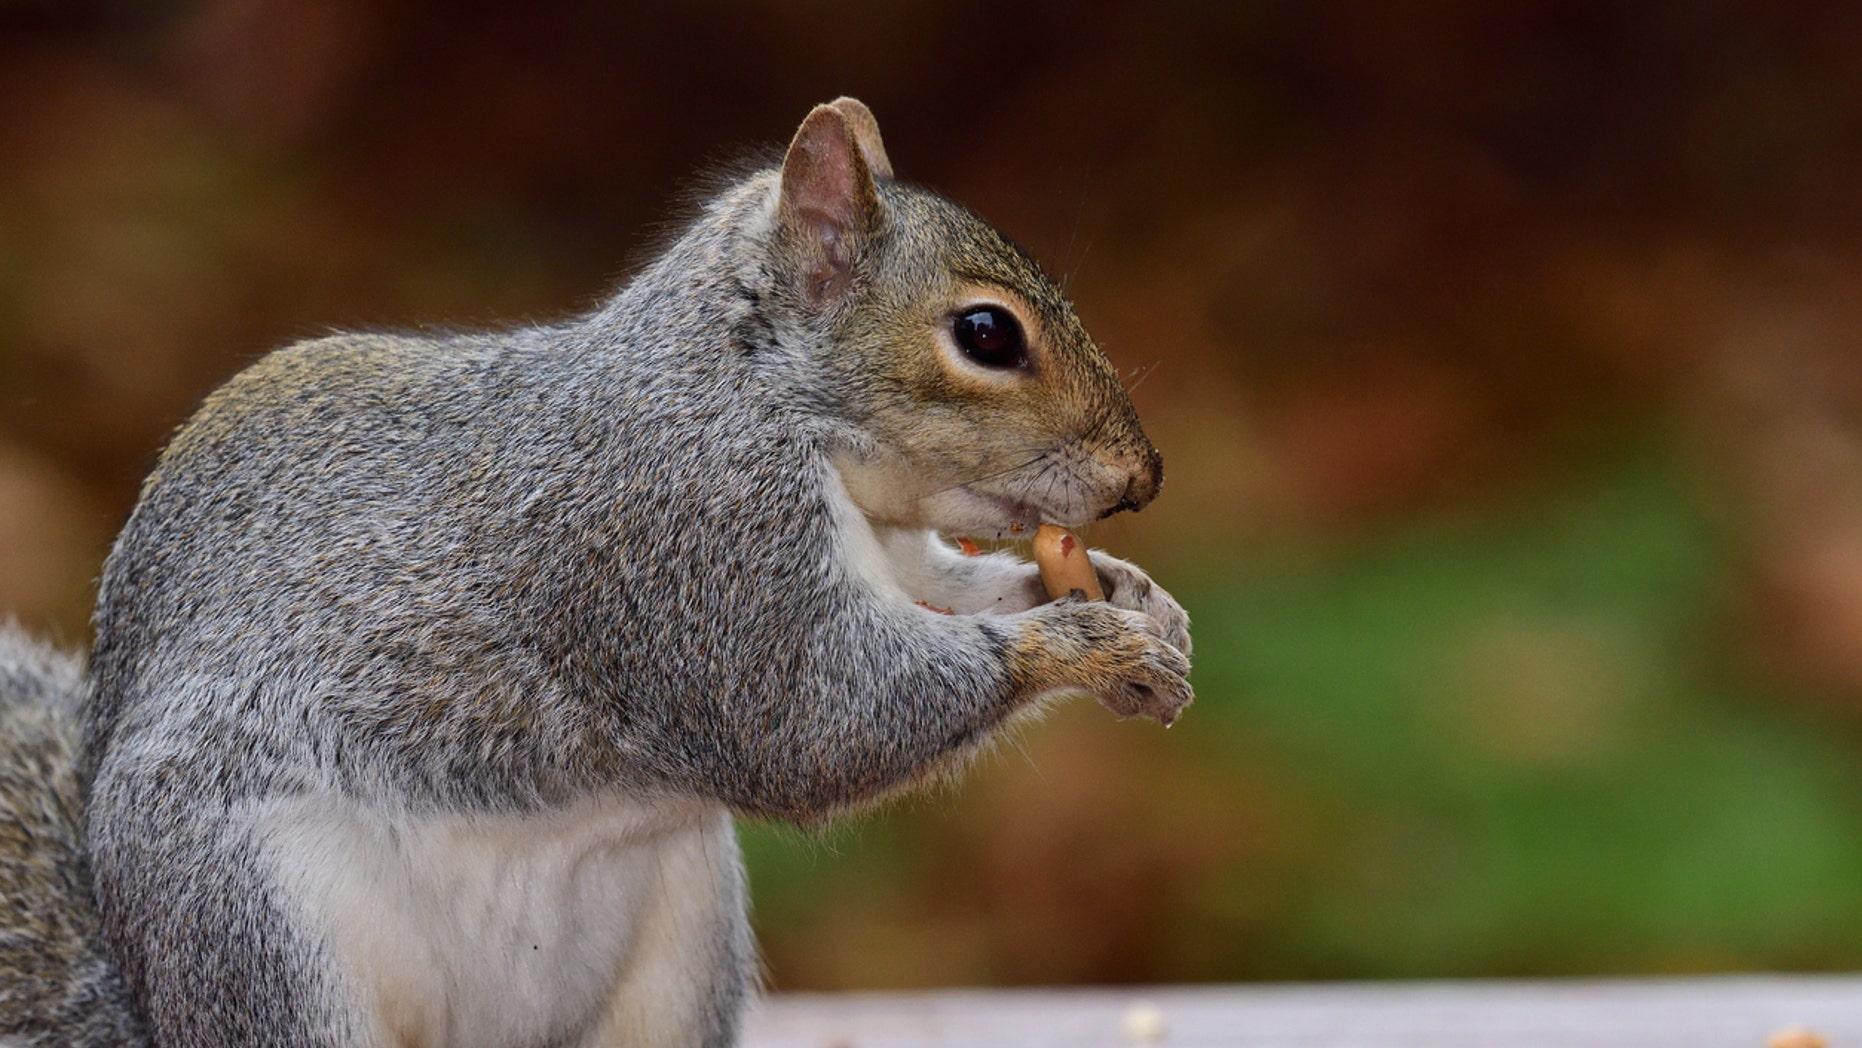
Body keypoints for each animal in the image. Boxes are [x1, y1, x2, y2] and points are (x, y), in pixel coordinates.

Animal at [0, 98, 1191, 1047]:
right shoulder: (683, 543)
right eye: (986, 333)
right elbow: (809, 719)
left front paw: (1132, 603)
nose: (1143, 476)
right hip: (259, 938)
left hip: (678, 951)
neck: (753, 395)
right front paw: (1078, 642)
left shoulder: (895, 559)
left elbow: (950, 602)